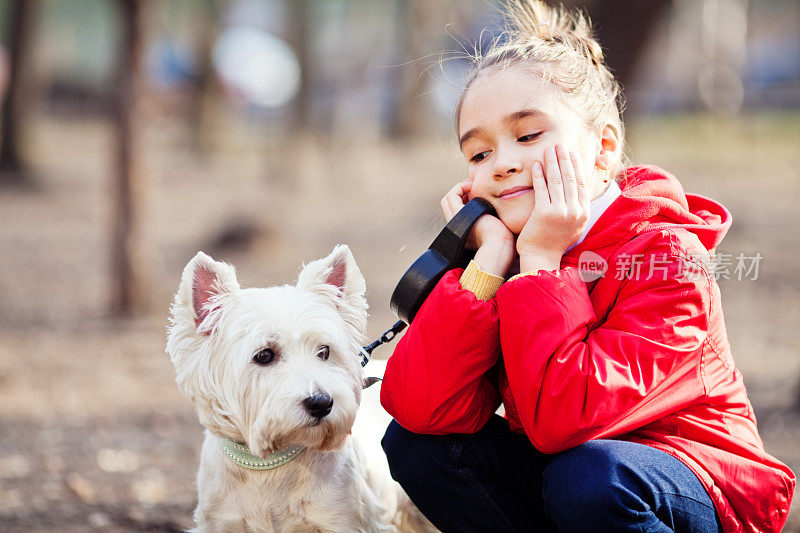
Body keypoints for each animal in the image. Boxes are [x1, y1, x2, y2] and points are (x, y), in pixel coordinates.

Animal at [165, 245, 434, 532]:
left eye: (324, 351)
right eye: (264, 355)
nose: (321, 403)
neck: (269, 464)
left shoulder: (344, 521)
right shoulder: (221, 521)